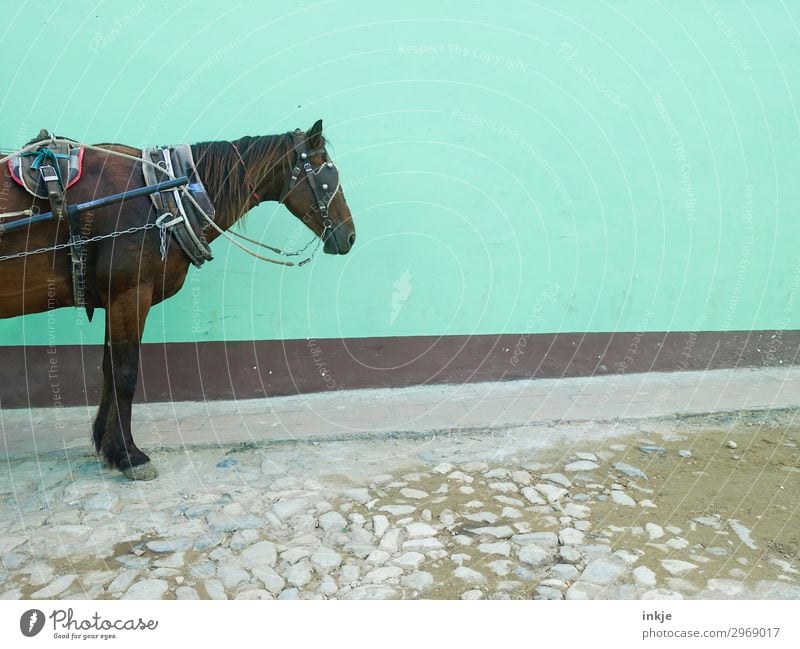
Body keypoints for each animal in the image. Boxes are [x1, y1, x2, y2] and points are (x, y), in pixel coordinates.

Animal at [0, 119, 356, 478]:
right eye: (326, 175)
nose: (350, 235)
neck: (163, 194)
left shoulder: (116, 299)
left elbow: (108, 370)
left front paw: (107, 443)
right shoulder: (130, 294)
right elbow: (125, 374)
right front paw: (129, 454)